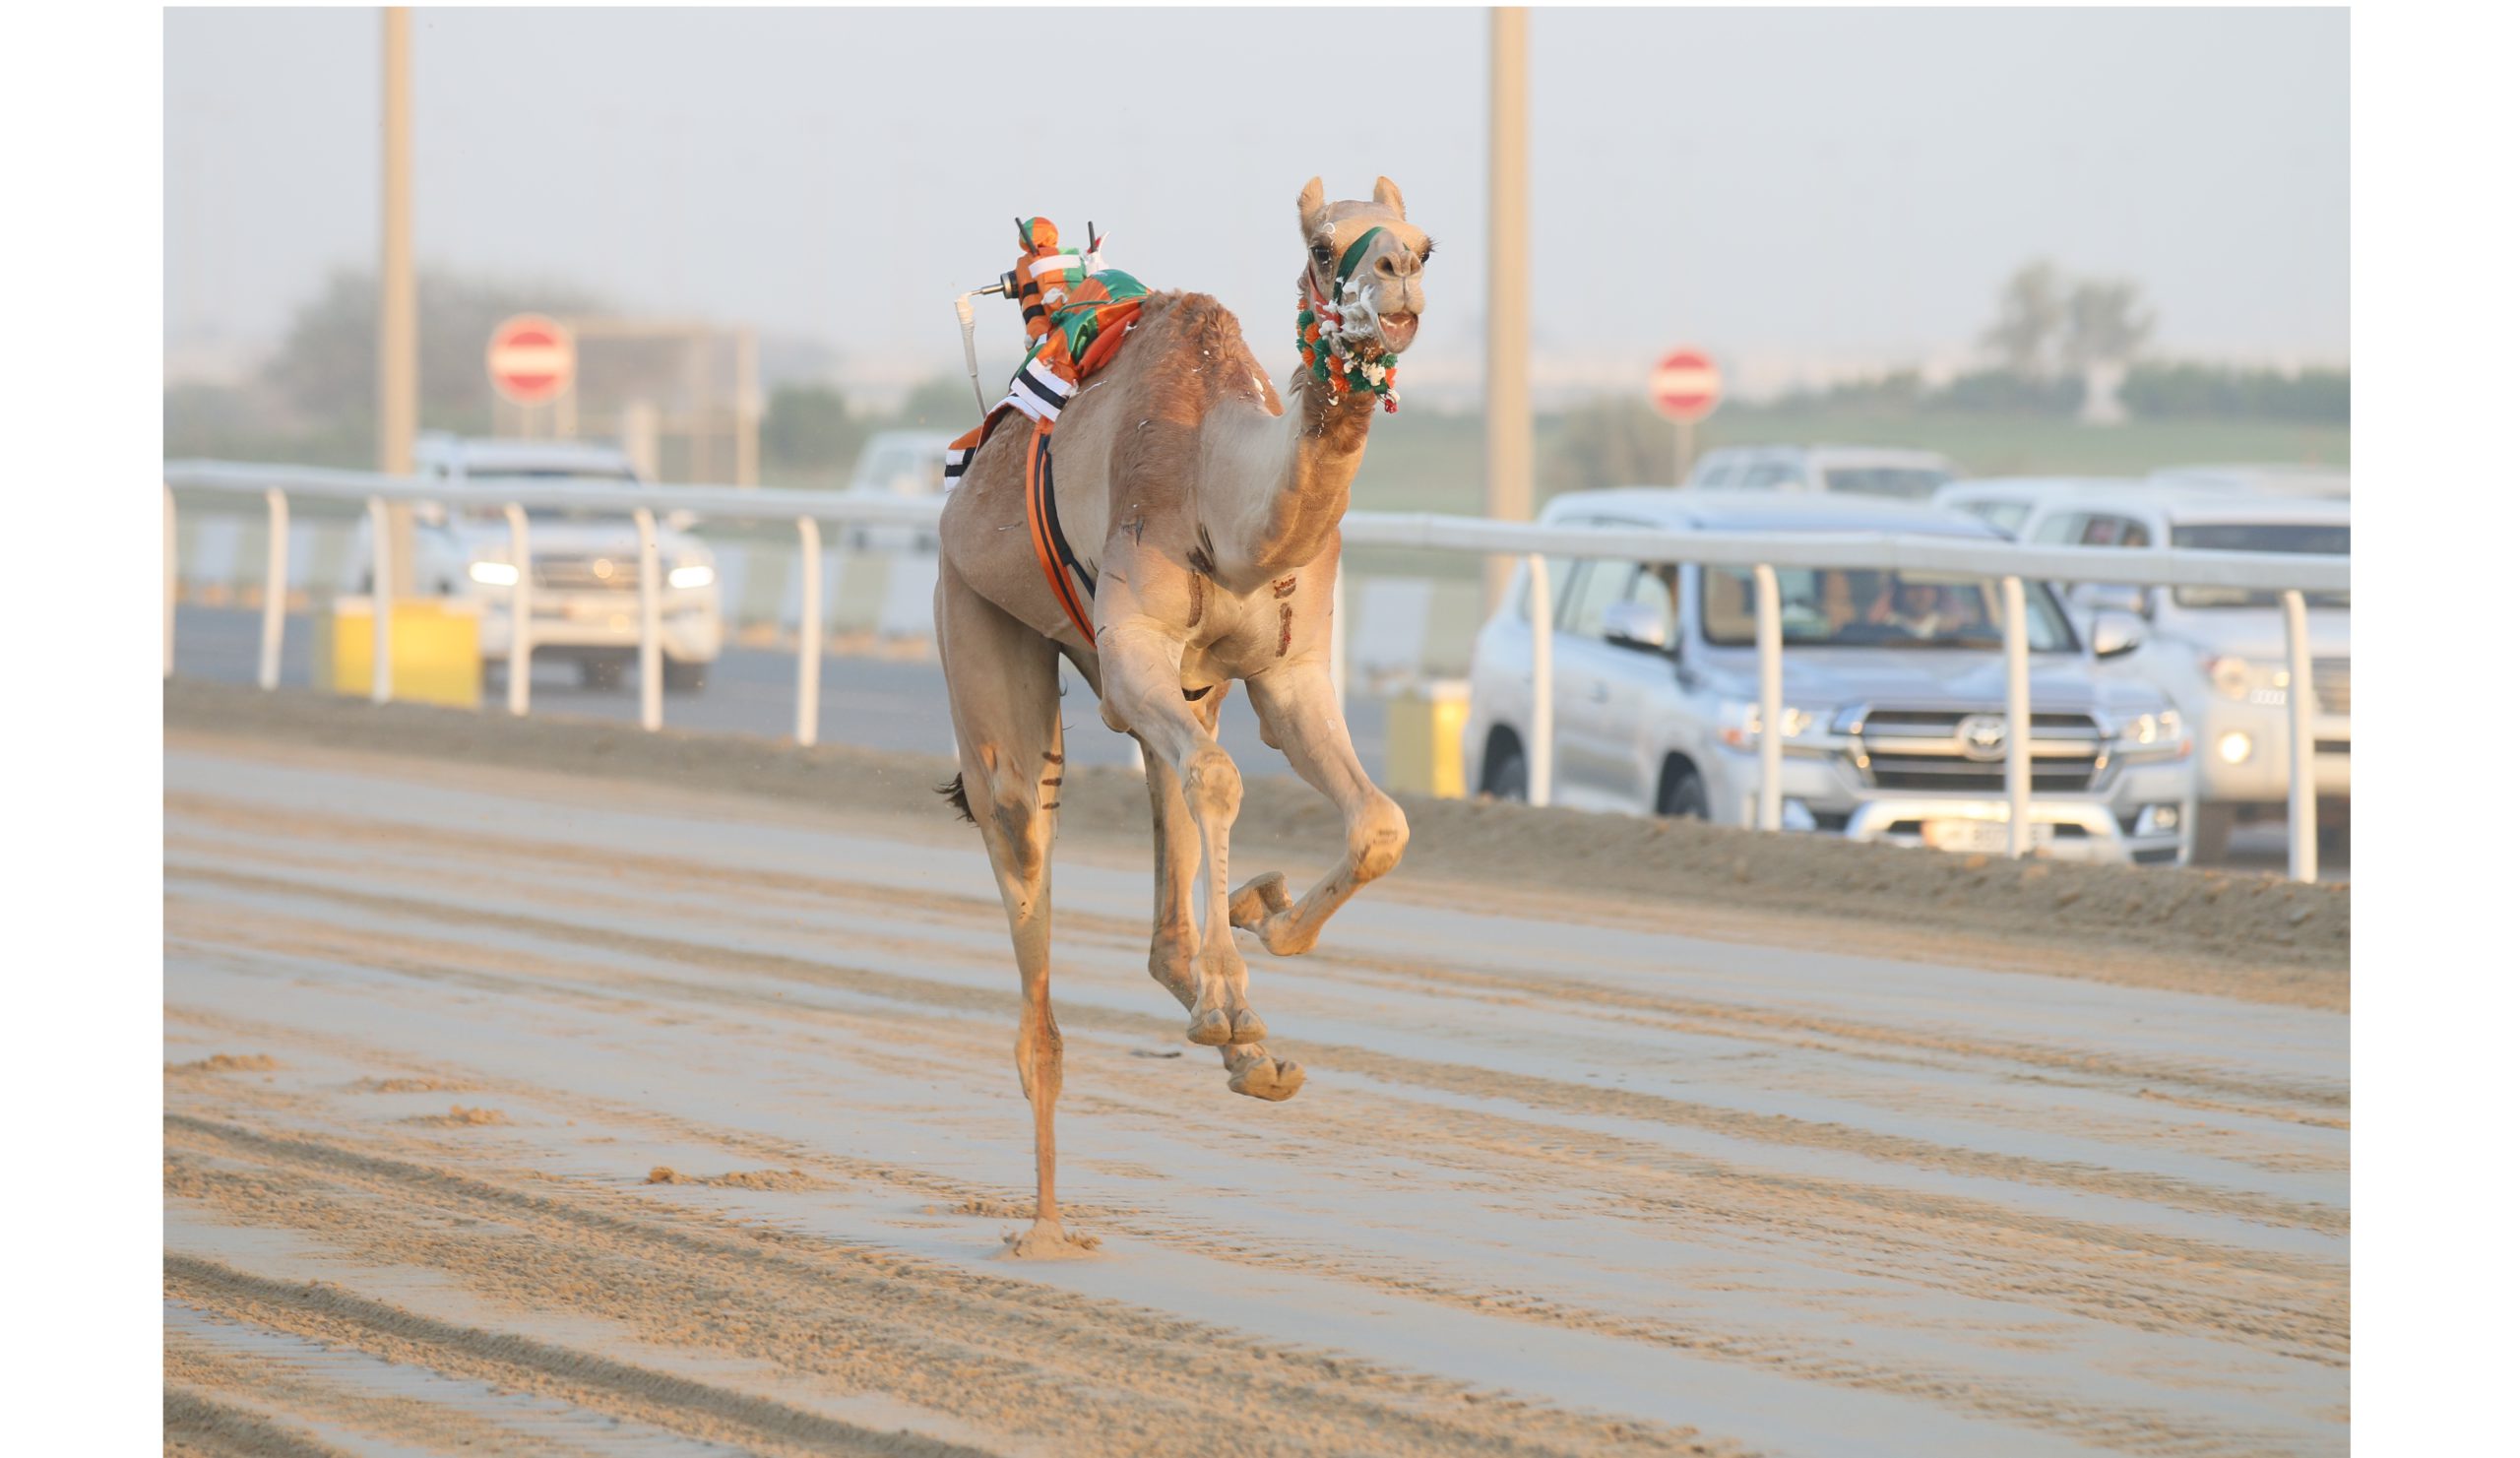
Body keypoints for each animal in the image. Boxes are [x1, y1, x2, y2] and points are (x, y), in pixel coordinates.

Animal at [932, 179, 1441, 1253]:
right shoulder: (1129, 648)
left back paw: (1245, 1041)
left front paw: (1268, 922)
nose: (1395, 281)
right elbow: (1221, 775)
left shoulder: (1289, 675)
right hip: (975, 606)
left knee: (1171, 823)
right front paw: (1234, 996)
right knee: (1023, 822)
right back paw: (1045, 1226)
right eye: (1325, 245)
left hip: (1185, 687)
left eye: (1427, 245)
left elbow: (1379, 822)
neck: (1224, 498)